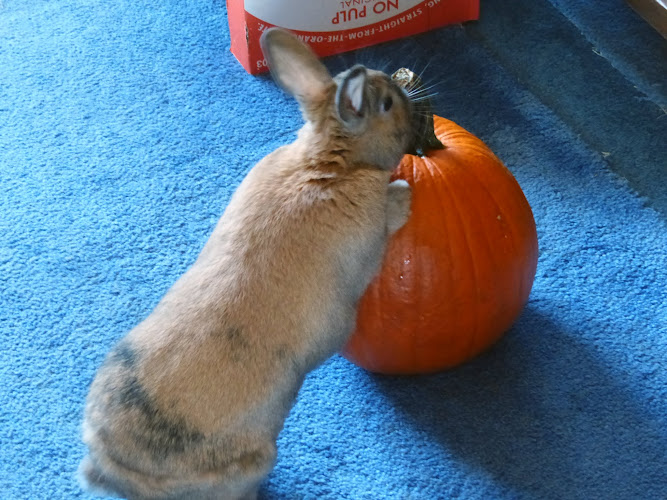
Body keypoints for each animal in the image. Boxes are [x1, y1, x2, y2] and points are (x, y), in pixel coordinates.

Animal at [79, 27, 416, 500]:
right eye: (386, 104)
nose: (411, 106)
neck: (329, 164)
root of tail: (111, 469)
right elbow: (389, 217)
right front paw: (404, 194)